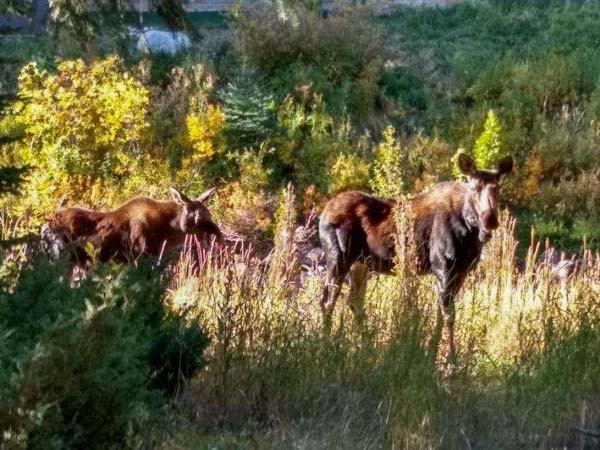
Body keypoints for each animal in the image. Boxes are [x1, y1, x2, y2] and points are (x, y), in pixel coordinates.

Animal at [41, 186, 221, 268]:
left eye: (209, 214)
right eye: (196, 218)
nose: (218, 235)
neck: (166, 233)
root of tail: (45, 228)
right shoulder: (139, 255)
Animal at [322, 155, 512, 366]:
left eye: (497, 187)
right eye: (473, 188)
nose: (490, 219)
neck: (470, 232)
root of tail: (323, 213)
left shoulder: (461, 272)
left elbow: (441, 315)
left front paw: (432, 354)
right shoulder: (443, 267)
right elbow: (449, 315)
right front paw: (451, 360)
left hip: (360, 263)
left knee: (353, 302)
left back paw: (368, 348)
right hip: (338, 257)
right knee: (328, 301)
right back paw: (326, 345)